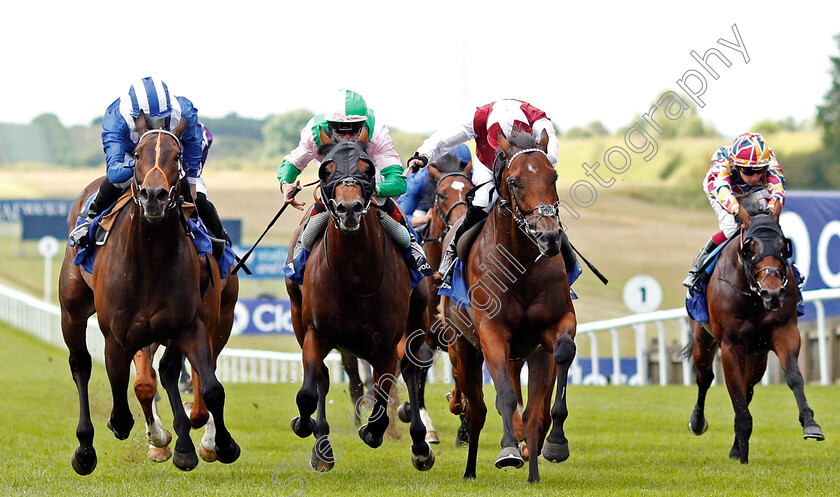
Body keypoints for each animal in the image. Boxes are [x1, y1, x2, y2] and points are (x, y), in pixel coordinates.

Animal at [58, 112, 240, 472]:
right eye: (138, 154)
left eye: (178, 156)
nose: (154, 195)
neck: (150, 256)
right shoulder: (120, 335)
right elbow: (131, 396)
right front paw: (156, 437)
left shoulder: (189, 324)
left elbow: (211, 386)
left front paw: (219, 444)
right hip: (71, 310)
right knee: (81, 364)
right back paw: (85, 449)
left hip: (219, 317)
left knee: (179, 371)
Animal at [286, 140, 436, 472]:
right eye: (326, 170)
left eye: (368, 170)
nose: (349, 209)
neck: (354, 276)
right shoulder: (315, 333)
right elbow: (307, 393)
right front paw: (306, 427)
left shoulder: (387, 343)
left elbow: (382, 392)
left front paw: (373, 430)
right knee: (323, 380)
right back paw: (322, 446)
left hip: (417, 321)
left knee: (411, 372)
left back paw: (420, 444)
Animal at [442, 130, 576, 482]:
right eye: (514, 182)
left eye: (553, 176)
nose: (549, 237)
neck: (521, 265)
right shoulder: (491, 331)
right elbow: (504, 394)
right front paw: (508, 450)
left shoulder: (557, 323)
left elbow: (563, 353)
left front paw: (556, 443)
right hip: (463, 347)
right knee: (476, 410)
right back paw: (470, 469)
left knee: (533, 414)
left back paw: (533, 470)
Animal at [684, 208, 824, 462]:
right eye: (750, 248)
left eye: (784, 246)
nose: (773, 293)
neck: (753, 296)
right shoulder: (730, 345)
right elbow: (735, 392)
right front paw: (743, 454)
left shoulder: (785, 331)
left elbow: (794, 376)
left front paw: (810, 423)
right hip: (703, 339)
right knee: (705, 377)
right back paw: (698, 423)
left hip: (757, 355)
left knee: (748, 387)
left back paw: (735, 447)